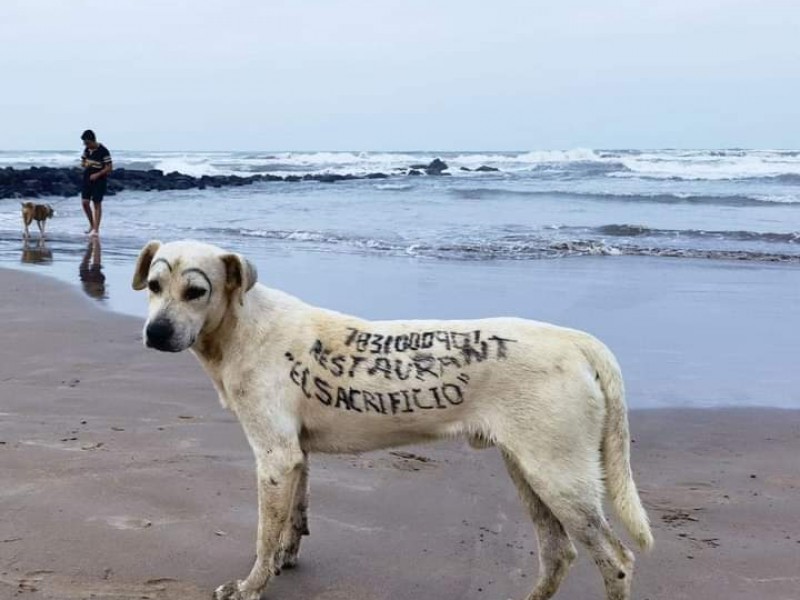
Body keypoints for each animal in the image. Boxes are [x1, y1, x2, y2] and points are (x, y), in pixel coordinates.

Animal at [134, 240, 652, 600]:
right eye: (155, 287)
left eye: (197, 292)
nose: (155, 333)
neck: (240, 325)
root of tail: (578, 341)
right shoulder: (297, 457)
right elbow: (293, 520)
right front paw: (286, 558)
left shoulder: (275, 458)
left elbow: (264, 535)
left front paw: (250, 586)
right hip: (529, 470)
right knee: (558, 554)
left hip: (558, 475)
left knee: (617, 560)